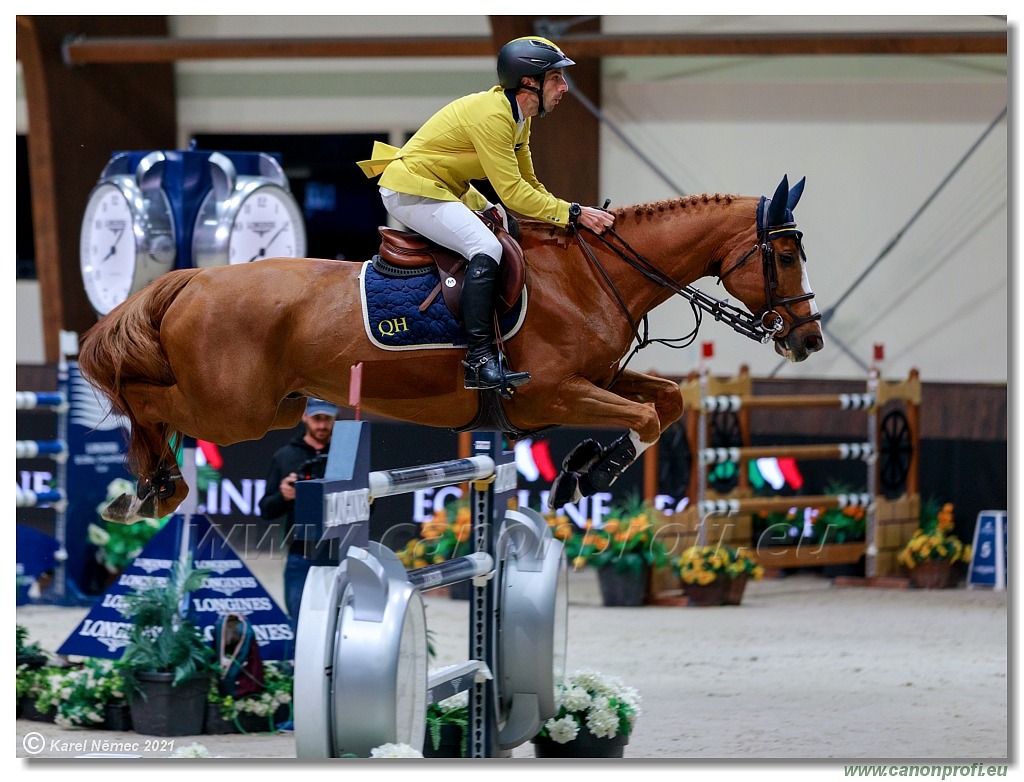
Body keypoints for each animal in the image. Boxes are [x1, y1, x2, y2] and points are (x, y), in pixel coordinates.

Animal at [77, 174, 823, 522]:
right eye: (786, 255)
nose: (808, 339)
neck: (590, 274)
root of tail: (193, 278)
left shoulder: (598, 380)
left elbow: (664, 403)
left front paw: (580, 468)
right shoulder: (551, 393)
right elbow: (644, 417)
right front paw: (587, 474)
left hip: (275, 406)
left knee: (158, 405)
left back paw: (154, 487)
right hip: (237, 410)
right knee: (142, 397)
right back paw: (149, 487)